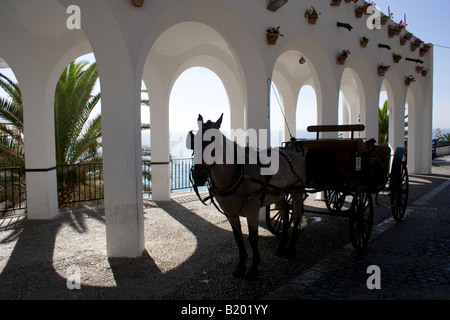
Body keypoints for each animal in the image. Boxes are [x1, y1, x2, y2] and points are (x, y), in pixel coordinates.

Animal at [185, 115, 306, 280]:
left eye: (213, 142)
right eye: (194, 142)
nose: (198, 176)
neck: (237, 173)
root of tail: (293, 151)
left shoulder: (252, 209)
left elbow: (253, 238)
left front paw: (254, 267)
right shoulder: (230, 212)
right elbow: (238, 237)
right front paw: (241, 265)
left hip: (297, 191)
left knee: (296, 217)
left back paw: (292, 247)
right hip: (280, 194)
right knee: (285, 214)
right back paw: (281, 247)